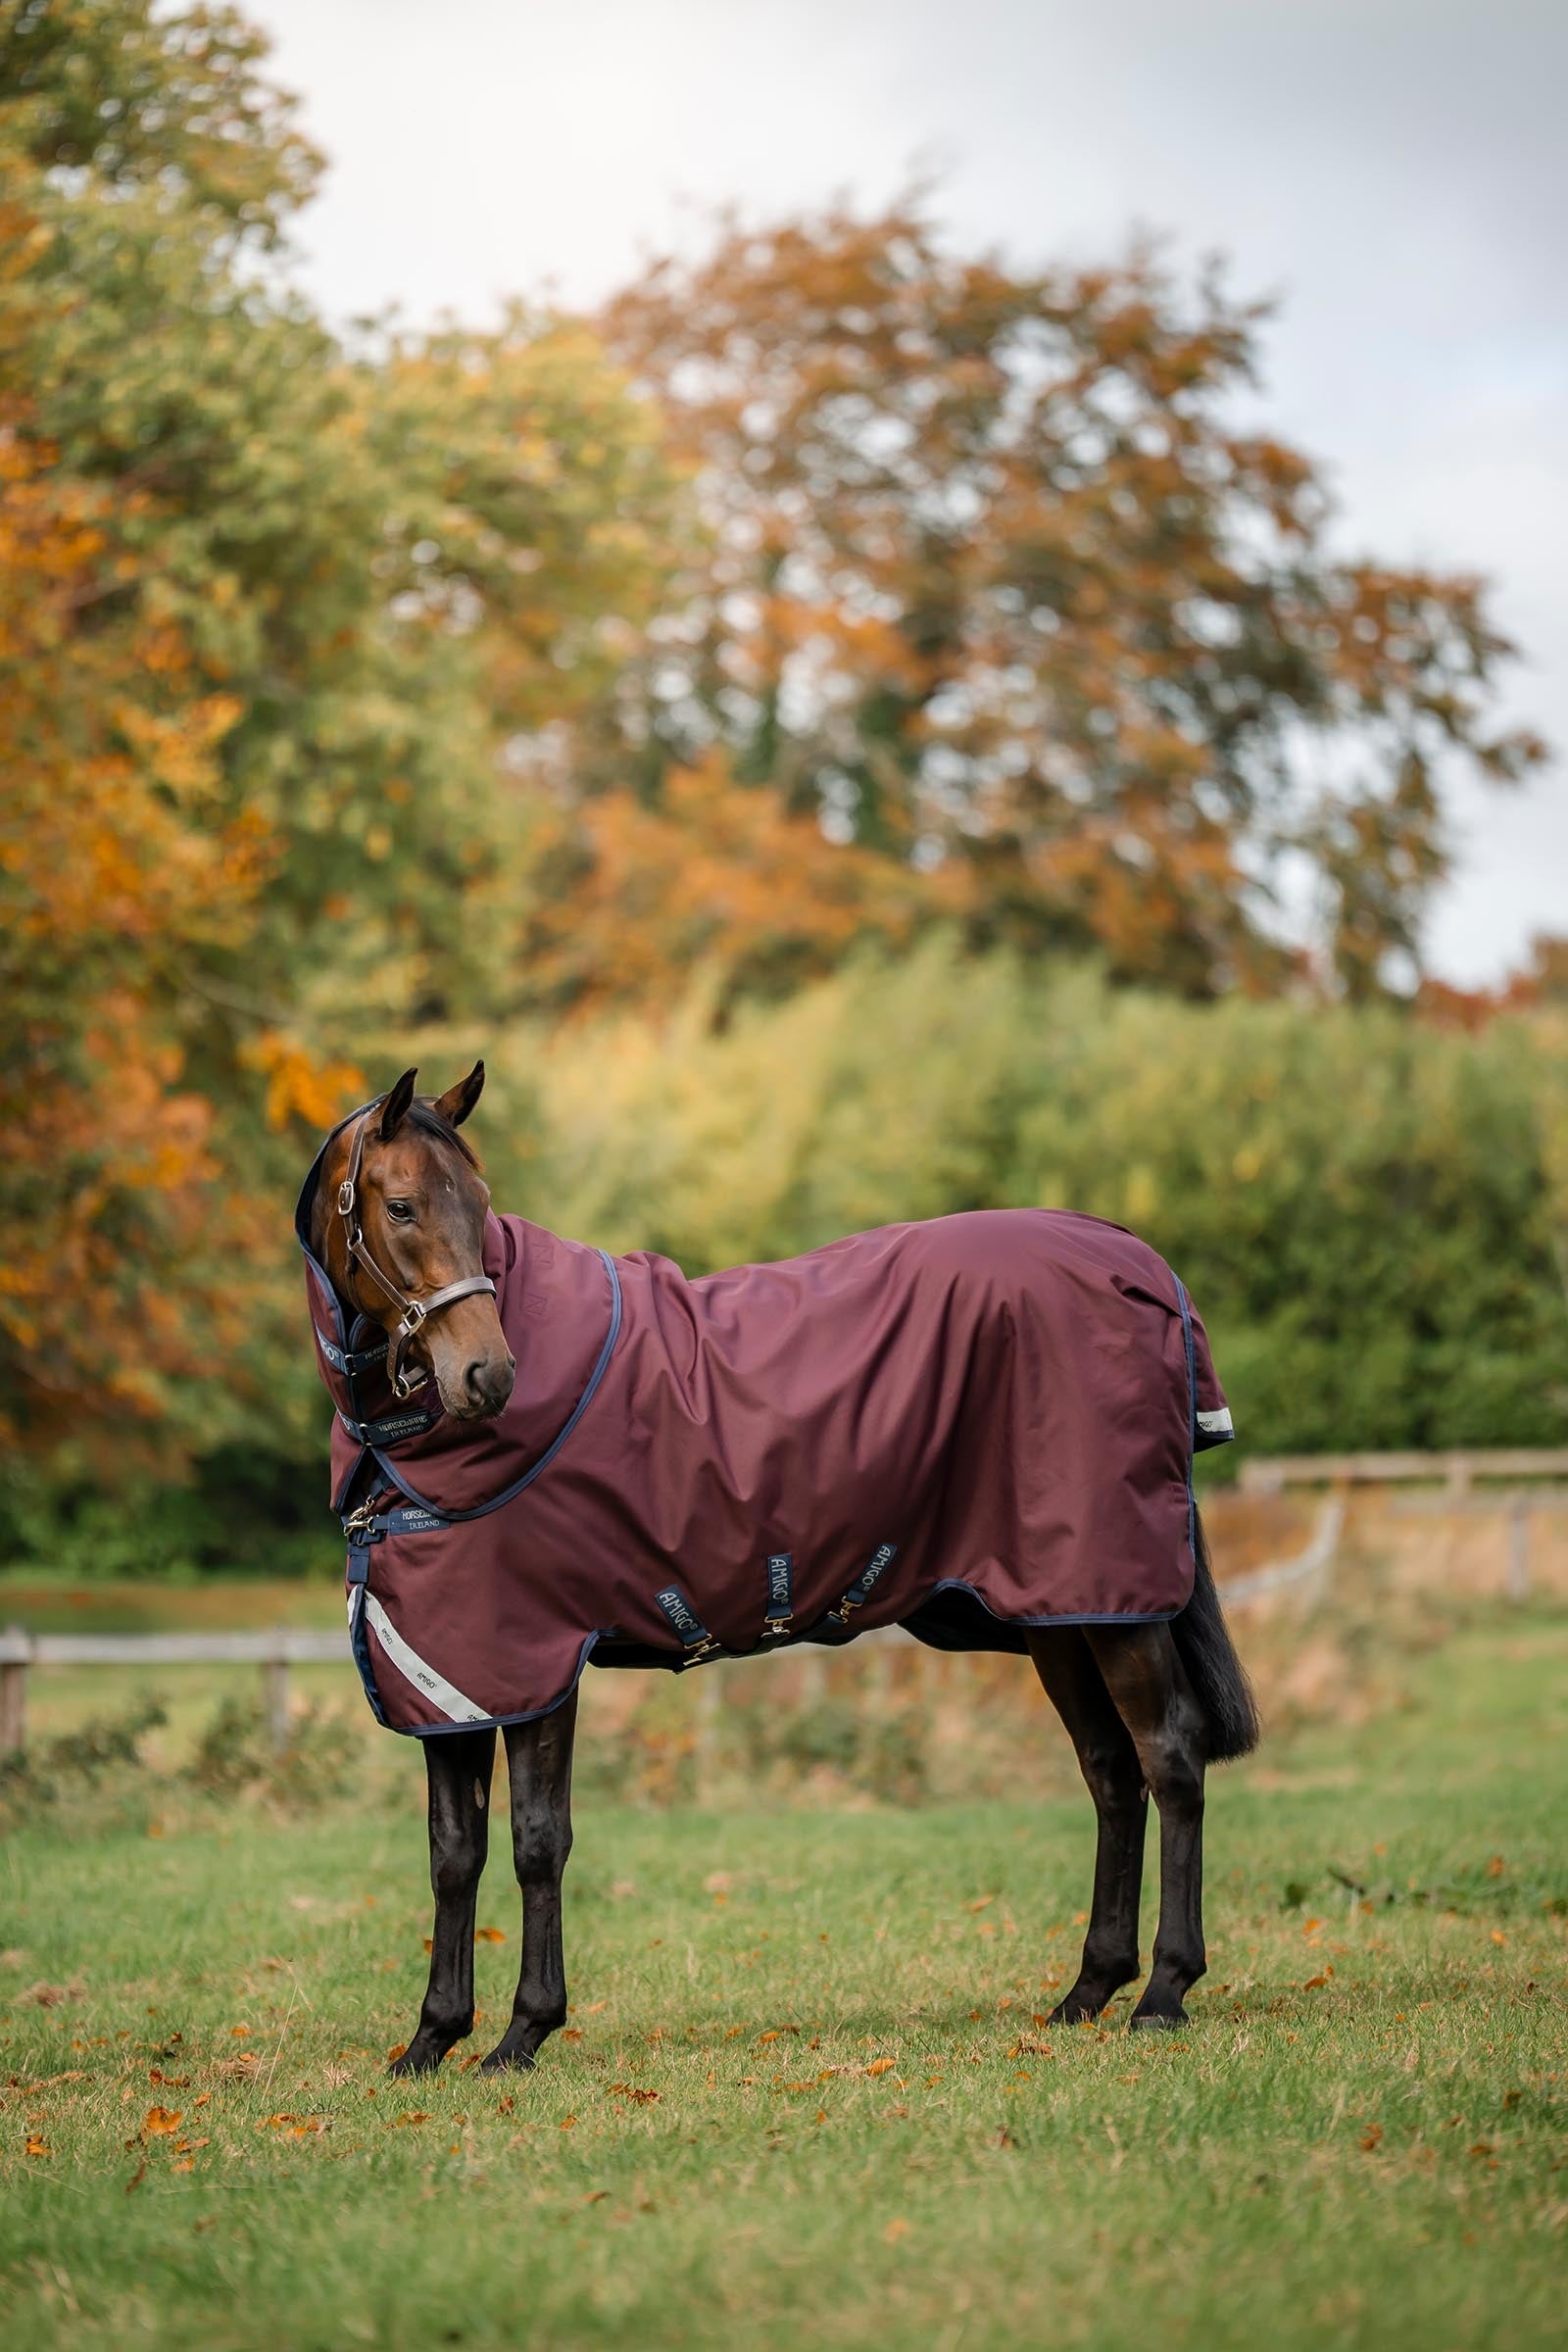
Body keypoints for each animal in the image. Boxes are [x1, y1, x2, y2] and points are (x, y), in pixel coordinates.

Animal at [301, 1064, 1258, 2077]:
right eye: (402, 1205)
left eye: (480, 1205)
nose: (487, 1375)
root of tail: (1138, 1260)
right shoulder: (449, 1680)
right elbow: (453, 1853)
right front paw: (430, 2040)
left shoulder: (534, 1664)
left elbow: (534, 1842)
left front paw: (523, 2033)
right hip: (1061, 1613)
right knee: (1111, 1770)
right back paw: (1087, 1992)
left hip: (1113, 1604)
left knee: (1170, 1756)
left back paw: (1164, 1991)